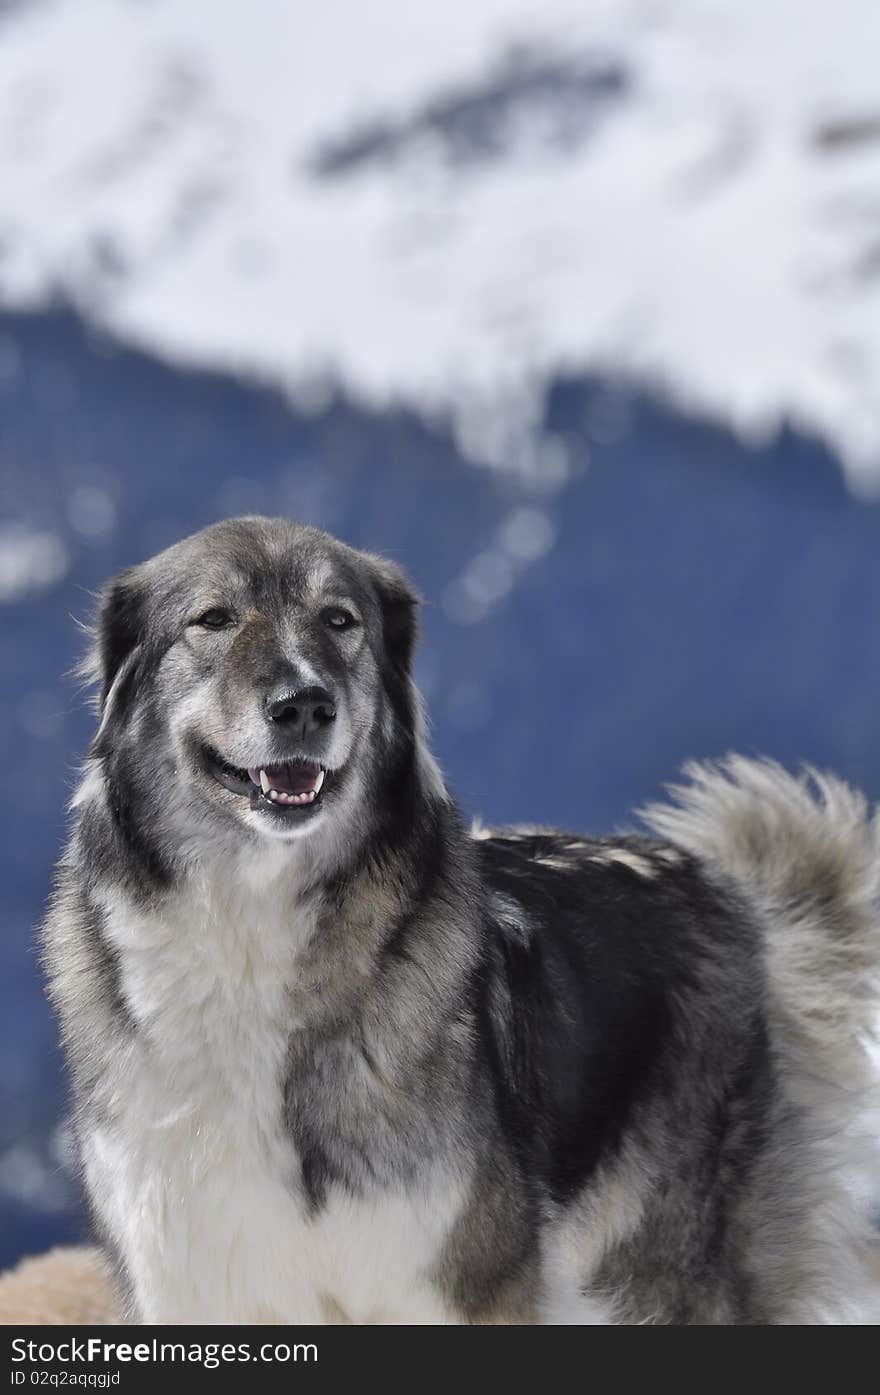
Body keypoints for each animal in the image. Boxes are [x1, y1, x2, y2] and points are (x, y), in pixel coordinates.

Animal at [43, 518, 880, 1322]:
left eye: (339, 619)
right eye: (213, 618)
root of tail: (722, 886)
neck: (252, 935)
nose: (305, 705)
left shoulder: (463, 1285)